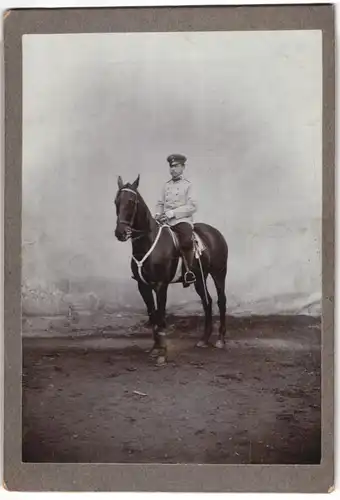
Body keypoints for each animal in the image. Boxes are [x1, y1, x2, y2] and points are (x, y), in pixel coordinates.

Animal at [114, 174, 228, 366]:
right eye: (116, 201)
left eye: (131, 201)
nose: (120, 232)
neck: (148, 243)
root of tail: (215, 233)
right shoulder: (143, 286)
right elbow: (153, 316)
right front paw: (155, 349)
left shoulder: (161, 285)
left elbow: (161, 316)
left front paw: (162, 353)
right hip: (199, 277)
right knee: (207, 302)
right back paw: (204, 339)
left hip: (219, 274)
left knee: (221, 301)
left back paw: (220, 339)